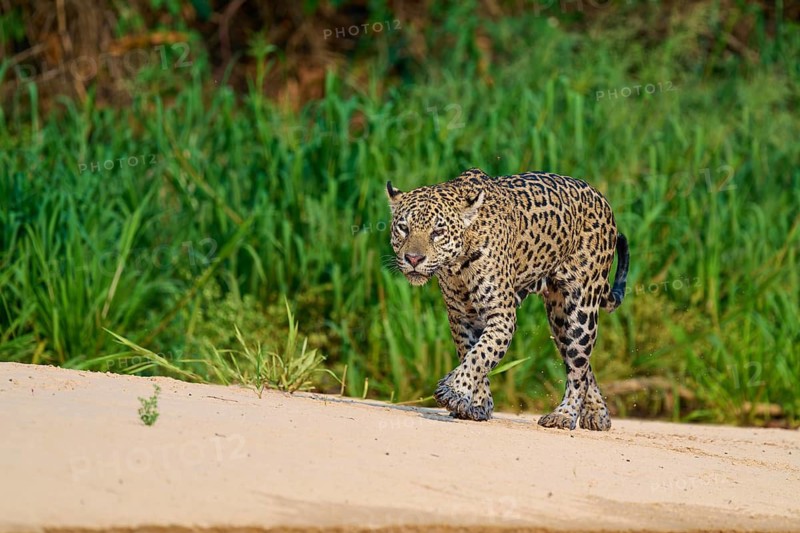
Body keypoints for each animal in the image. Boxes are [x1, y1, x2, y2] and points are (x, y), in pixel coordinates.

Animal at [385, 167, 629, 431]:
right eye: (403, 228)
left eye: (438, 232)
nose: (413, 259)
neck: (457, 264)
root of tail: (601, 198)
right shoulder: (461, 317)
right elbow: (471, 353)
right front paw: (476, 405)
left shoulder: (501, 316)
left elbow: (481, 355)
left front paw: (455, 391)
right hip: (559, 317)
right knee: (583, 365)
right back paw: (598, 414)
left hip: (580, 309)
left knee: (578, 366)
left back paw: (564, 415)